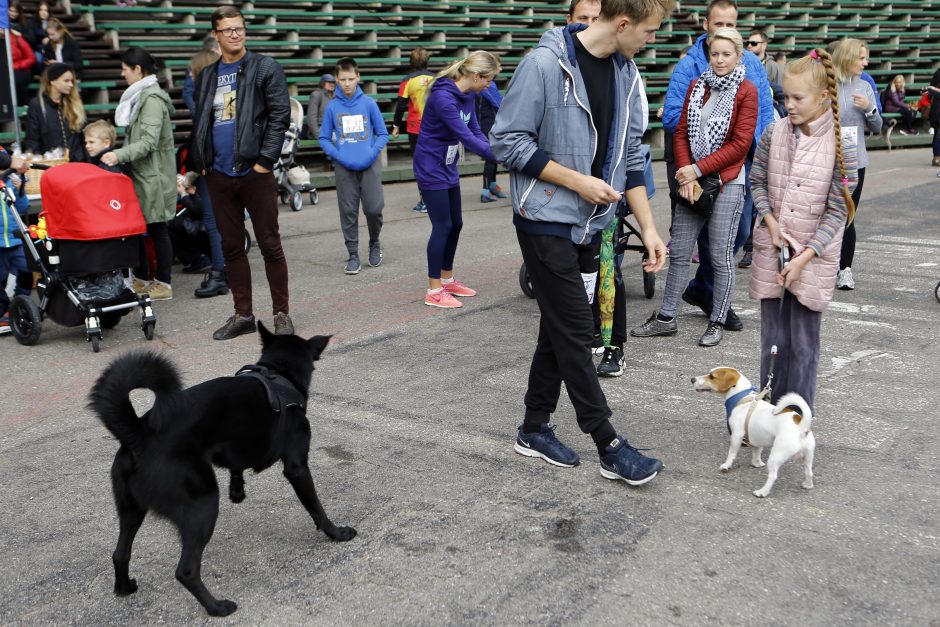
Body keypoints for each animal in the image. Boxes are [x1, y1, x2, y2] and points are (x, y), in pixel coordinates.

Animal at [88, 324, 356, 620]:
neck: (278, 374)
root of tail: (140, 434)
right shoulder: (297, 467)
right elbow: (317, 508)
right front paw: (336, 533)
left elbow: (236, 467)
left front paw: (237, 491)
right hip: (202, 506)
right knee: (185, 571)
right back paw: (217, 607)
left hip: (130, 509)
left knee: (120, 553)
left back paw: (124, 588)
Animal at [692, 366, 816, 498]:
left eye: (712, 376)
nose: (692, 379)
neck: (742, 398)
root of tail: (802, 426)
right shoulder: (757, 439)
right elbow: (756, 452)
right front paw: (757, 463)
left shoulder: (736, 436)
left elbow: (731, 454)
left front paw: (726, 466)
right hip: (808, 456)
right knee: (809, 472)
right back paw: (807, 485)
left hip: (775, 456)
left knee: (773, 476)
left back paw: (762, 492)